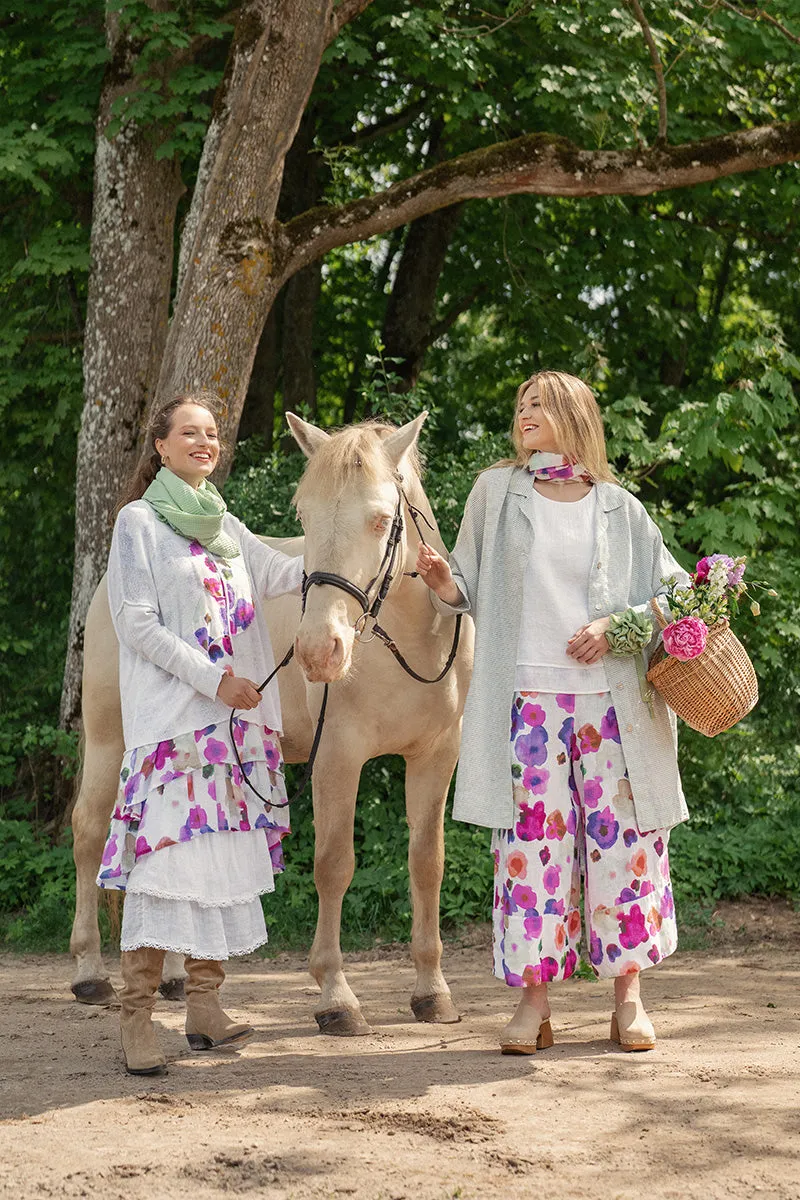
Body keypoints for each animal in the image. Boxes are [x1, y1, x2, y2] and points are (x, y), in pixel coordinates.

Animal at [68, 412, 474, 1032]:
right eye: (304, 515)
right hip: (108, 742)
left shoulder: (436, 755)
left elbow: (427, 864)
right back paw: (90, 973)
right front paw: (336, 997)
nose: (318, 650)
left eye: (382, 519)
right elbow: (334, 865)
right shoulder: (339, 757)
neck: (406, 642)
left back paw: (176, 976)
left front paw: (432, 991)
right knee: (89, 832)